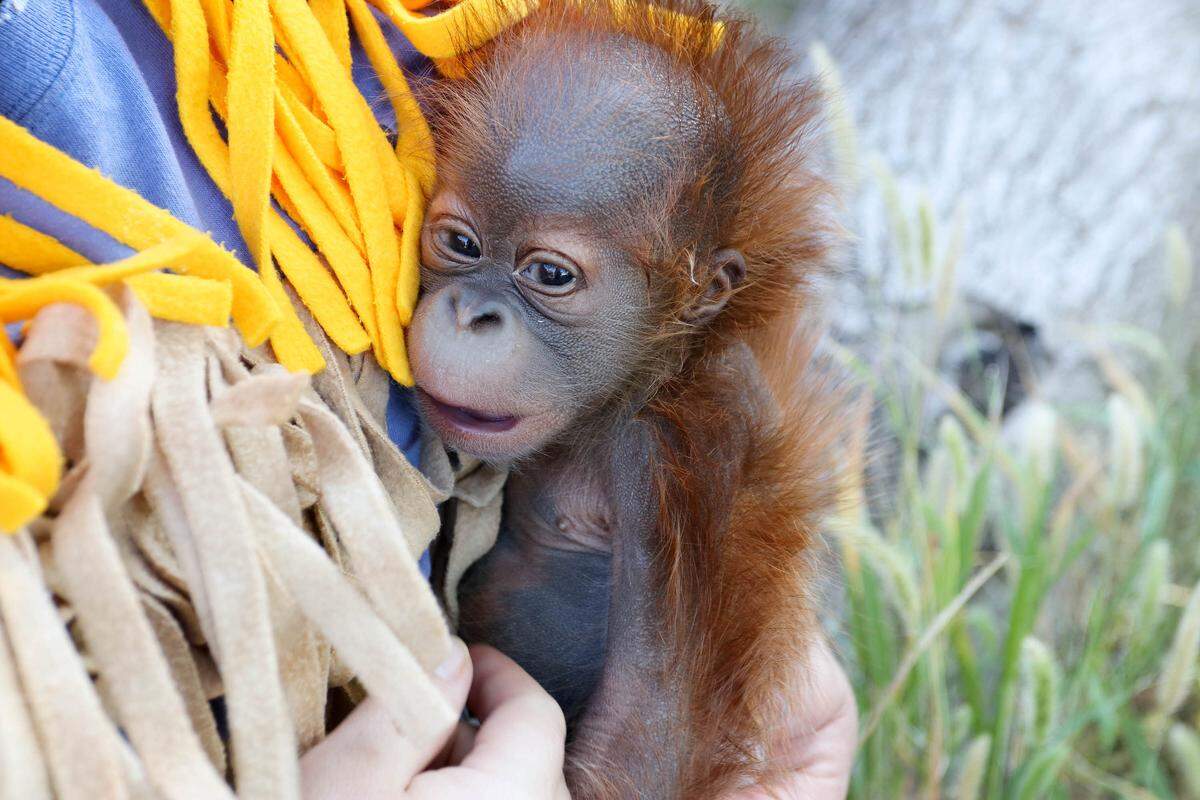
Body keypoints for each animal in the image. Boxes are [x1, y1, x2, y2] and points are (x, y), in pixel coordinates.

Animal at [406, 1, 843, 796]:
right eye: (460, 243)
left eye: (549, 274)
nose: (472, 313)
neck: (650, 379)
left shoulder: (669, 458)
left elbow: (649, 746)